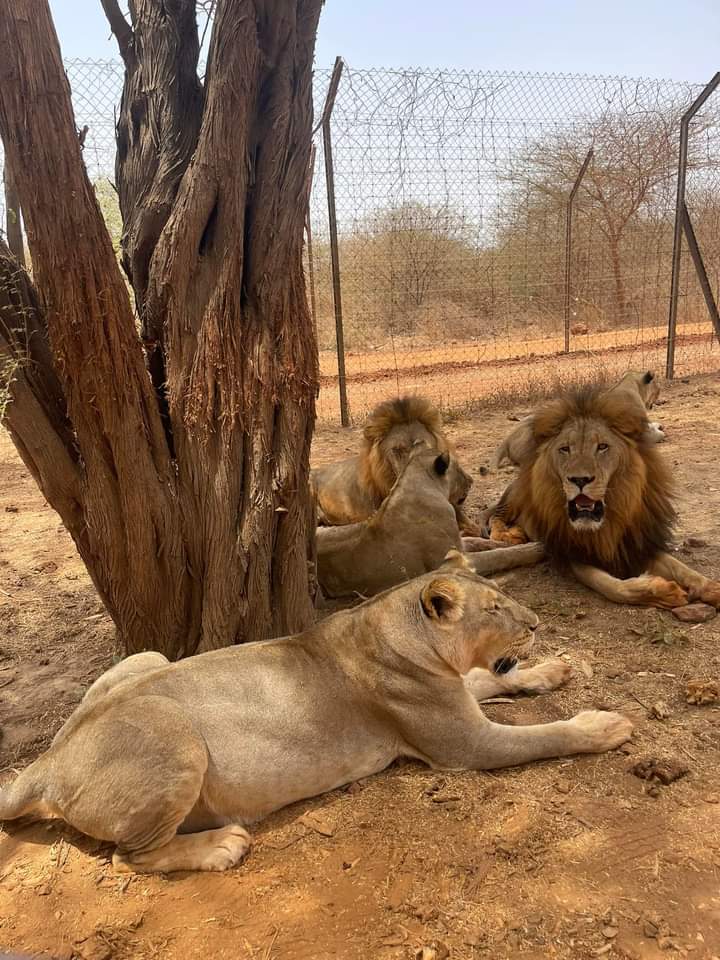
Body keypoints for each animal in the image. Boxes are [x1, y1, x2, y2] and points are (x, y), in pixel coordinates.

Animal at [0, 555, 632, 874]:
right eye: (495, 608)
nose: (537, 624)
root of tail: (46, 763)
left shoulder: (455, 693)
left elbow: (491, 678)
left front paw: (552, 670)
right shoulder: (463, 746)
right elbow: (545, 735)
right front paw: (604, 725)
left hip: (146, 657)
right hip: (173, 733)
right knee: (129, 856)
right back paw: (220, 847)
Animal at [317, 447, 544, 598]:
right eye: (459, 469)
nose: (472, 479)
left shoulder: (458, 544)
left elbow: (480, 542)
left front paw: (504, 541)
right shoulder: (455, 562)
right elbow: (500, 556)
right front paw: (536, 548)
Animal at [488, 384, 720, 609]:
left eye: (602, 447)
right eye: (565, 449)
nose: (580, 479)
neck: (607, 523)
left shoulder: (636, 544)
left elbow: (682, 568)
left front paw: (711, 588)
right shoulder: (576, 557)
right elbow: (612, 587)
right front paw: (663, 592)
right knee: (494, 516)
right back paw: (508, 535)